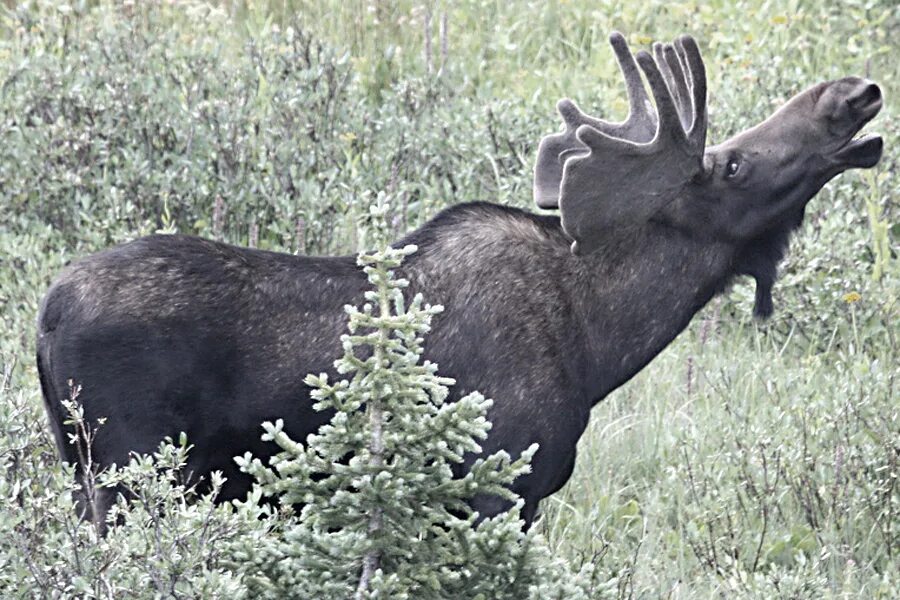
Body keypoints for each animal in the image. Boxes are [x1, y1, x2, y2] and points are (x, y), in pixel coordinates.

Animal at [38, 35, 884, 528]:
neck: (599, 341)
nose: (853, 92)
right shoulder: (494, 488)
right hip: (129, 476)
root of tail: (44, 317)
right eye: (732, 164)